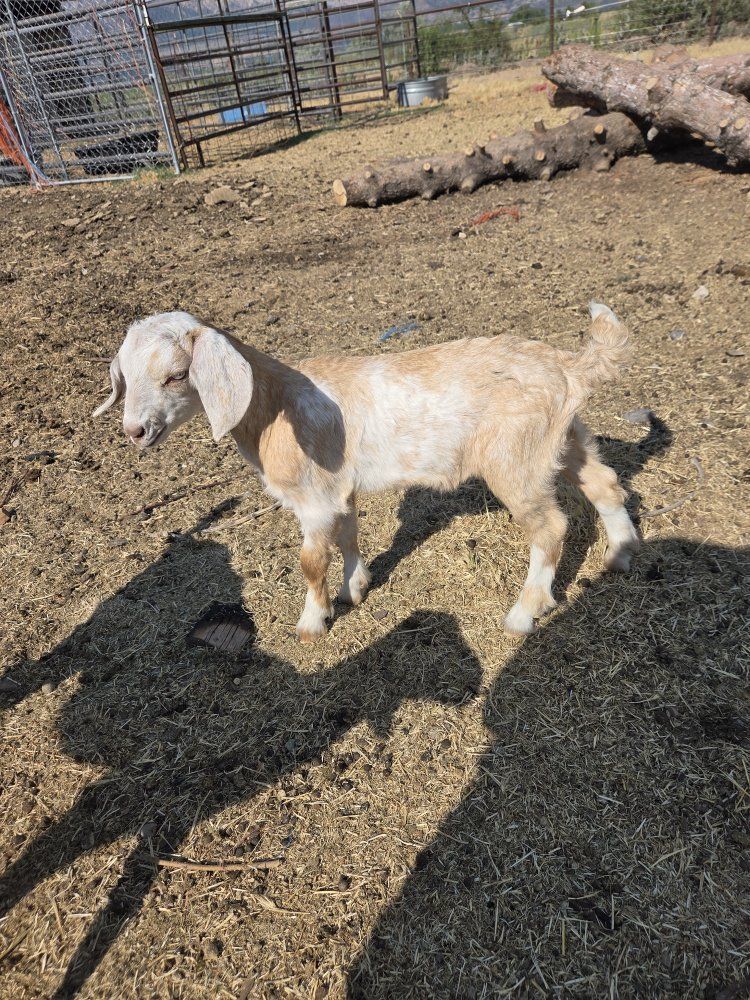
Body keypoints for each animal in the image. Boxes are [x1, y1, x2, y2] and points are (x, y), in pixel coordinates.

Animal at [94, 304, 639, 641]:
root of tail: (569, 368)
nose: (135, 431)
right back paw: (622, 553)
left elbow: (311, 561)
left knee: (550, 526)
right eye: (125, 377)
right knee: (606, 485)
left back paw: (524, 613)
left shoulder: (313, 499)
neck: (272, 406)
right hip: (563, 440)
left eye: (176, 375)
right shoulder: (339, 488)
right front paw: (354, 587)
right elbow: (350, 535)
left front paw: (313, 622)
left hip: (515, 458)